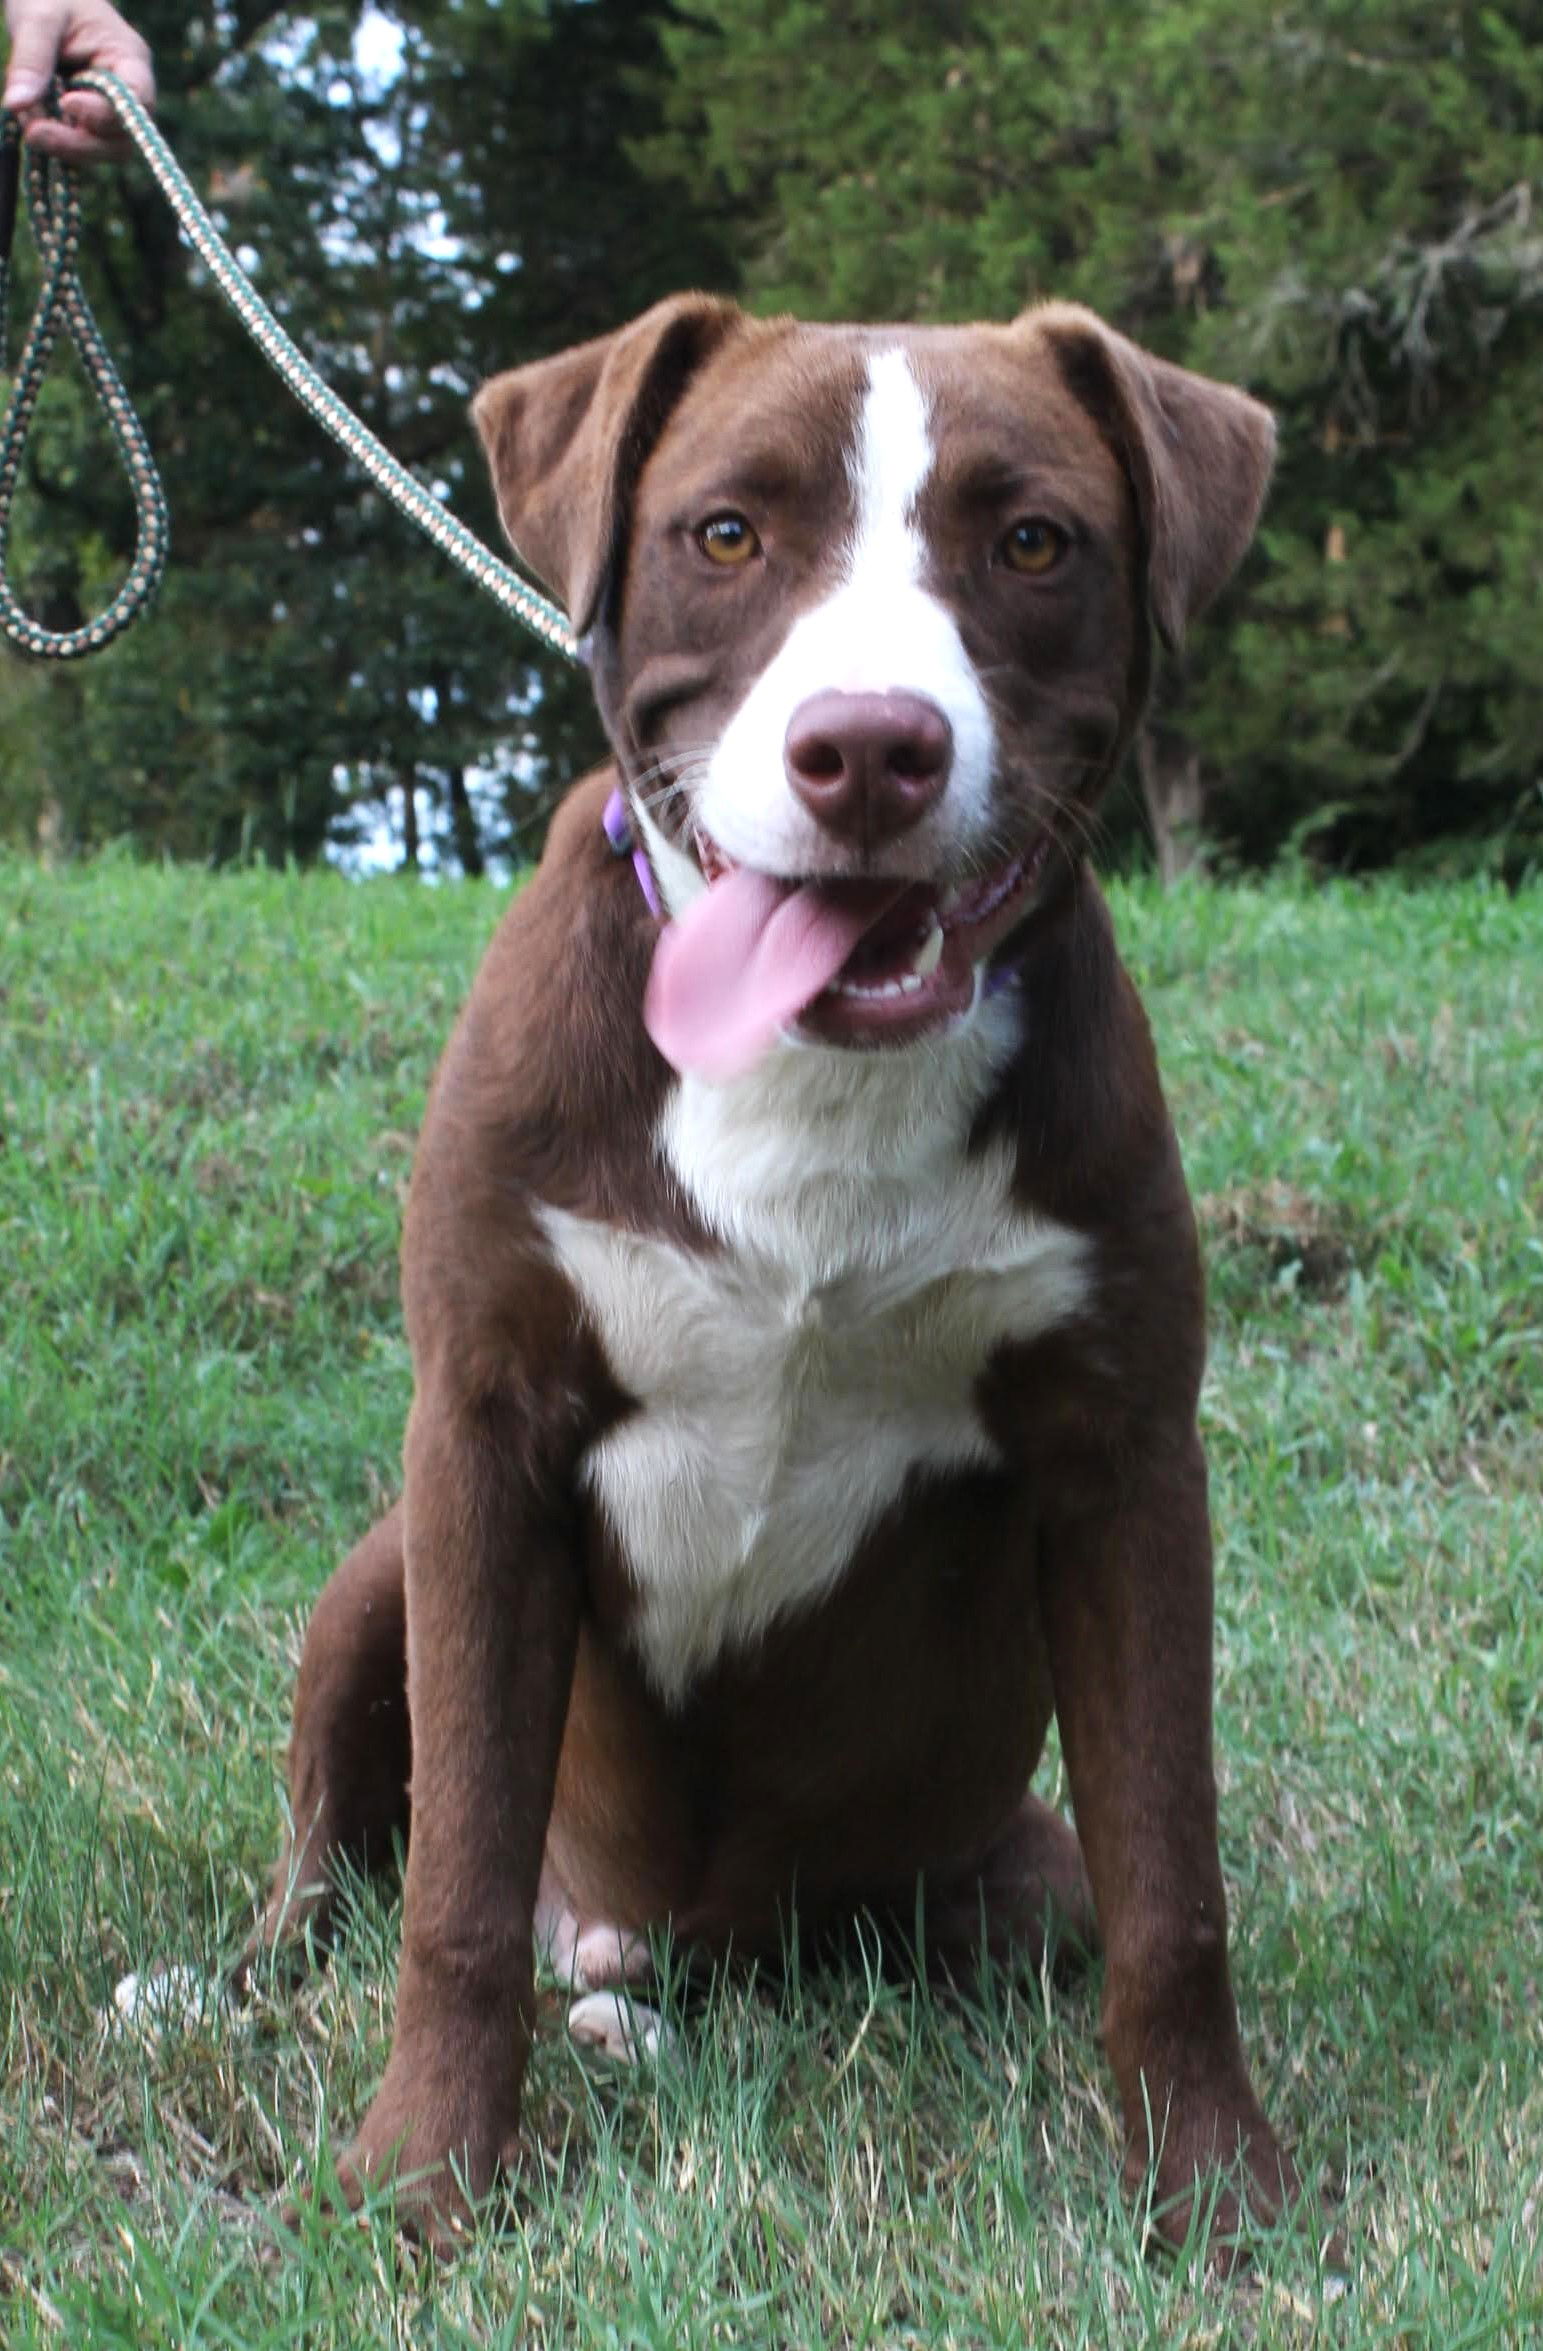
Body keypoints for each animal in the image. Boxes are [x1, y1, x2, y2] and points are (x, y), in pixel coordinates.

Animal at [250, 298, 1288, 2256]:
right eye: (724, 532)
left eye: (1030, 539)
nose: (866, 749)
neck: (816, 1075)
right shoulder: (480, 1437)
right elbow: (459, 1872)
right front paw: (424, 2175)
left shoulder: (1124, 1463)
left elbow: (1171, 1875)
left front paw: (1210, 2184)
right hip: (377, 1570)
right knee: (352, 1842)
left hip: (989, 1865)